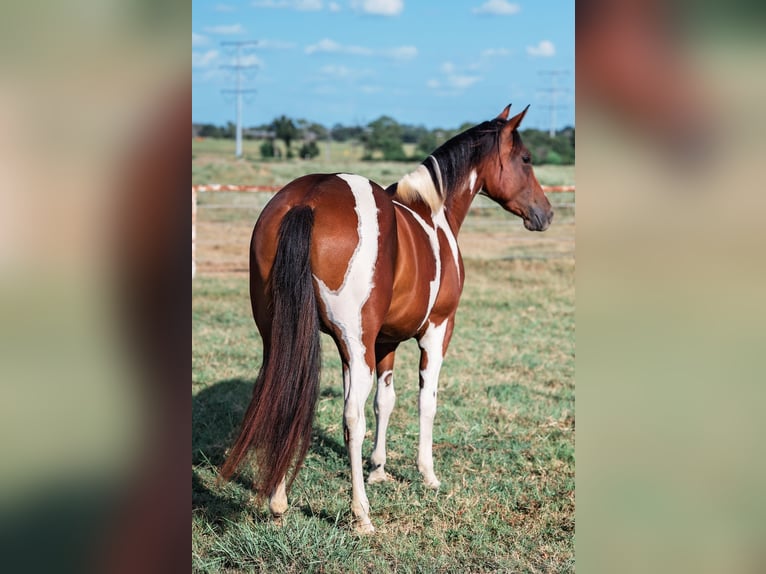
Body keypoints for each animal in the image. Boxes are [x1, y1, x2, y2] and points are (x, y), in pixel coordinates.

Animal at [219, 104, 553, 533]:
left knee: (284, 398)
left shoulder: (385, 340)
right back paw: (361, 514)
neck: (434, 214)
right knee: (352, 418)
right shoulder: (437, 332)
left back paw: (278, 501)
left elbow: (385, 400)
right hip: (355, 341)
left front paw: (378, 468)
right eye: (525, 159)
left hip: (283, 337)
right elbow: (425, 400)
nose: (545, 213)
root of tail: (306, 202)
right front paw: (427, 474)